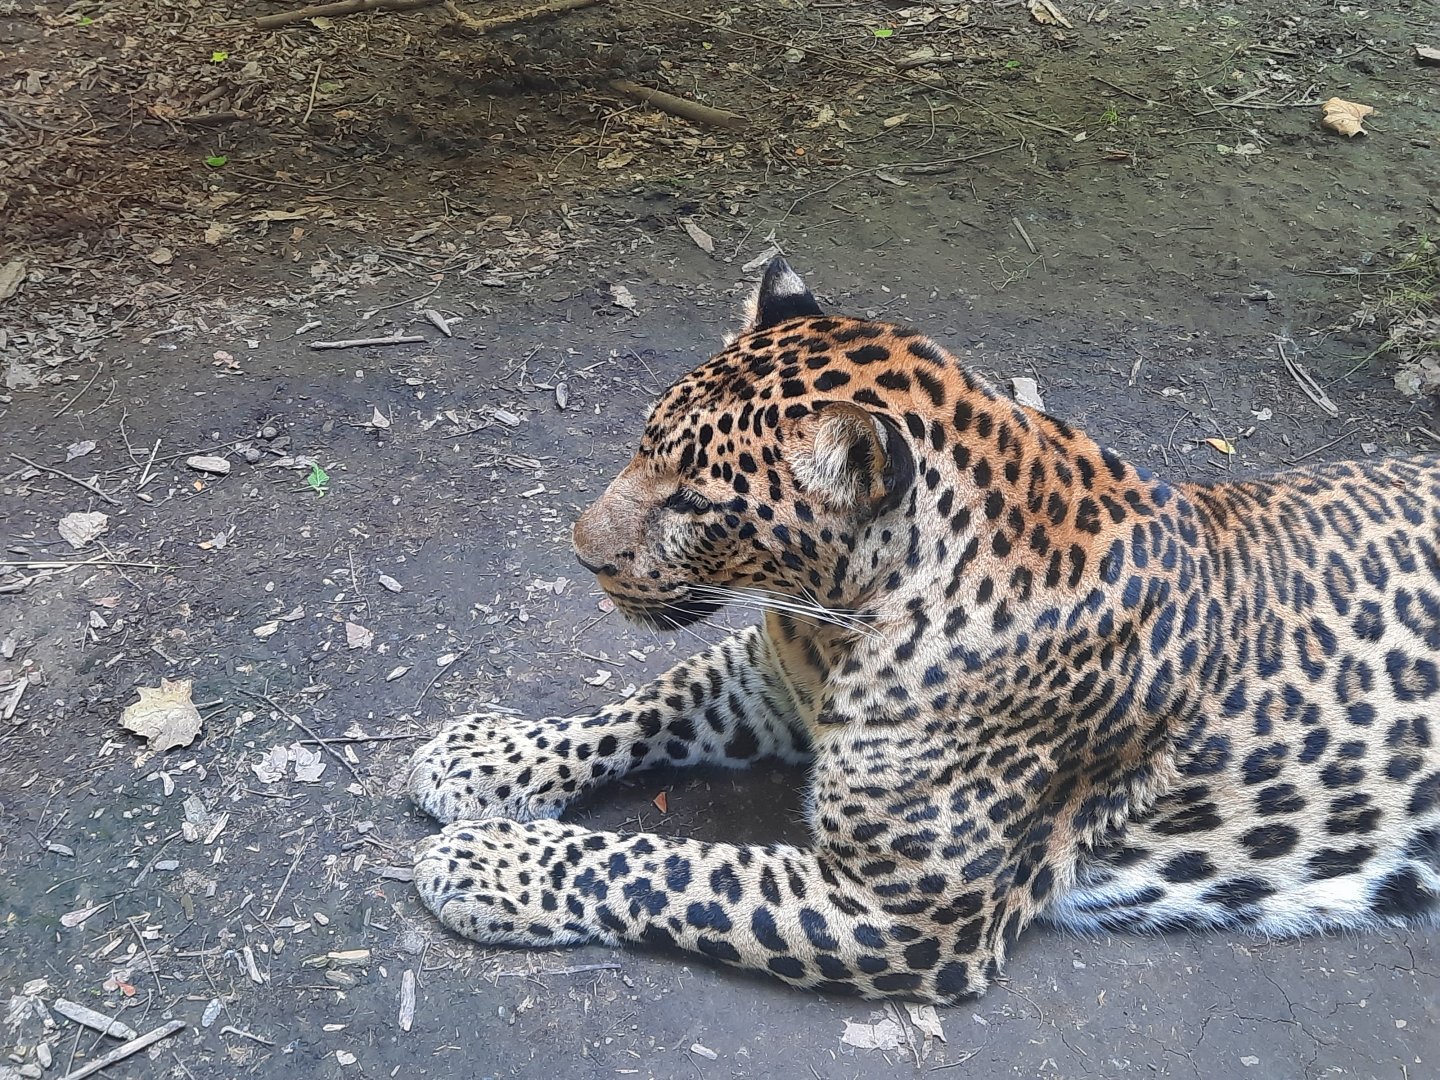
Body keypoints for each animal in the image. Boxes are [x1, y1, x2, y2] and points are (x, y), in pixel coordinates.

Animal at [408, 257, 1440, 1004]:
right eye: (641, 443)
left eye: (697, 502)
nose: (583, 554)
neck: (842, 622)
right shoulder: (772, 680)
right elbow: (649, 705)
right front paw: (487, 757)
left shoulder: (904, 915)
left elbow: (664, 867)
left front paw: (486, 864)